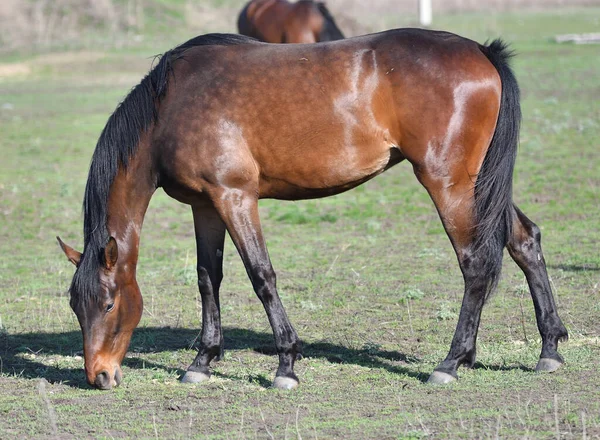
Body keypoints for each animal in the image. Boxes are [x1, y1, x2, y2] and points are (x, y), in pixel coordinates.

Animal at [56, 29, 568, 390]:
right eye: (75, 306)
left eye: (108, 303)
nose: (99, 376)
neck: (172, 106)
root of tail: (483, 51)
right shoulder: (206, 206)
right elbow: (207, 279)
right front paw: (203, 361)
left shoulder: (235, 197)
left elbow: (261, 276)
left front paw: (286, 364)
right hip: (479, 184)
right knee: (524, 241)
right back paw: (548, 349)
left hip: (449, 183)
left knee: (476, 263)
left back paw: (451, 362)